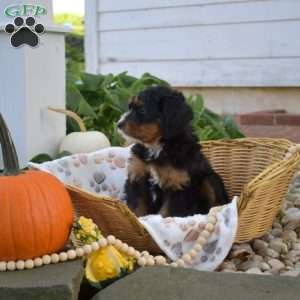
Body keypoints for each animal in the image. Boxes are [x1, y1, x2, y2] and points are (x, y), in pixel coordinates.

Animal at [117, 85, 230, 217]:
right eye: (129, 107)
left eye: (142, 110)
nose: (119, 124)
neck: (156, 146)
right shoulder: (137, 176)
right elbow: (136, 207)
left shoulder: (178, 184)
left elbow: (166, 213)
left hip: (210, 179)